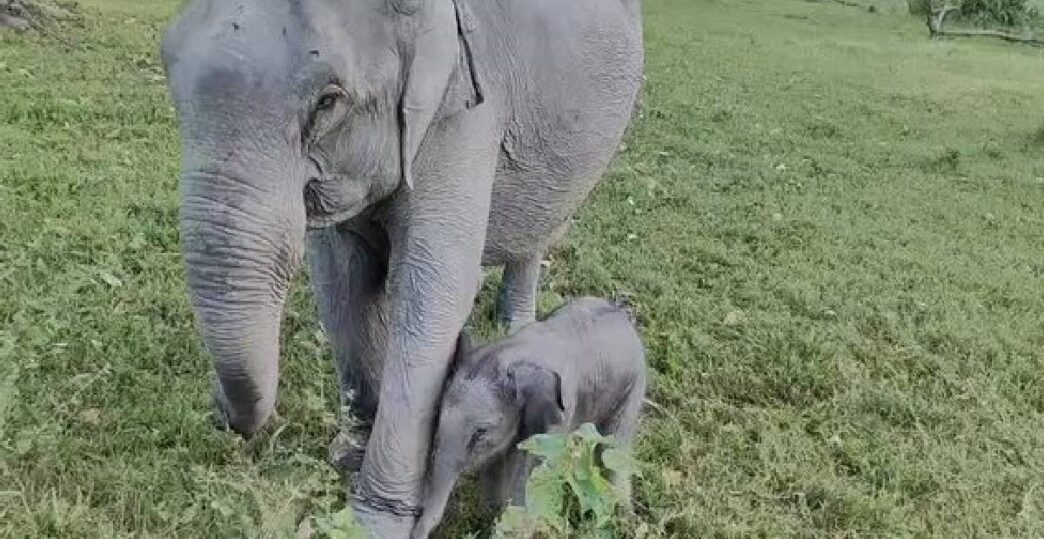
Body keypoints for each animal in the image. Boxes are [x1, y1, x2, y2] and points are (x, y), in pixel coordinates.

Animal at [413, 297, 647, 537]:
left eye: (480, 433)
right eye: (437, 421)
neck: (514, 357)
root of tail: (623, 314)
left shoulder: (558, 420)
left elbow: (530, 479)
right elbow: (498, 461)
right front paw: (490, 514)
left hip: (633, 388)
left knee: (613, 450)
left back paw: (624, 518)